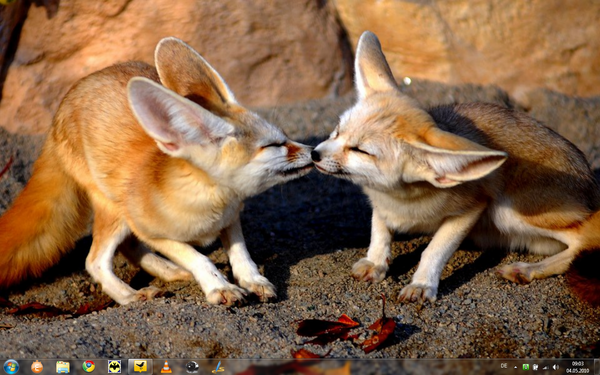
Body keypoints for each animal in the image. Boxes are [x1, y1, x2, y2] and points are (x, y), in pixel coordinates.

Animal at [0, 37, 312, 306]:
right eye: (273, 145)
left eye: (285, 136)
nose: (314, 152)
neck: (210, 200)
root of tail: (60, 110)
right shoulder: (149, 230)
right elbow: (198, 256)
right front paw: (219, 286)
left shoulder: (231, 218)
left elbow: (240, 252)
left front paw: (252, 279)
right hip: (114, 210)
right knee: (95, 260)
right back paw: (130, 295)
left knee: (128, 249)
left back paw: (169, 271)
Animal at [312, 31, 600, 308]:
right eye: (337, 131)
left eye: (361, 150)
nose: (314, 154)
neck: (400, 199)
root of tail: (591, 183)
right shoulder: (379, 204)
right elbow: (379, 231)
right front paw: (376, 262)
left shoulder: (472, 208)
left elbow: (434, 249)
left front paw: (422, 284)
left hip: (509, 211)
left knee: (585, 240)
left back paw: (527, 269)